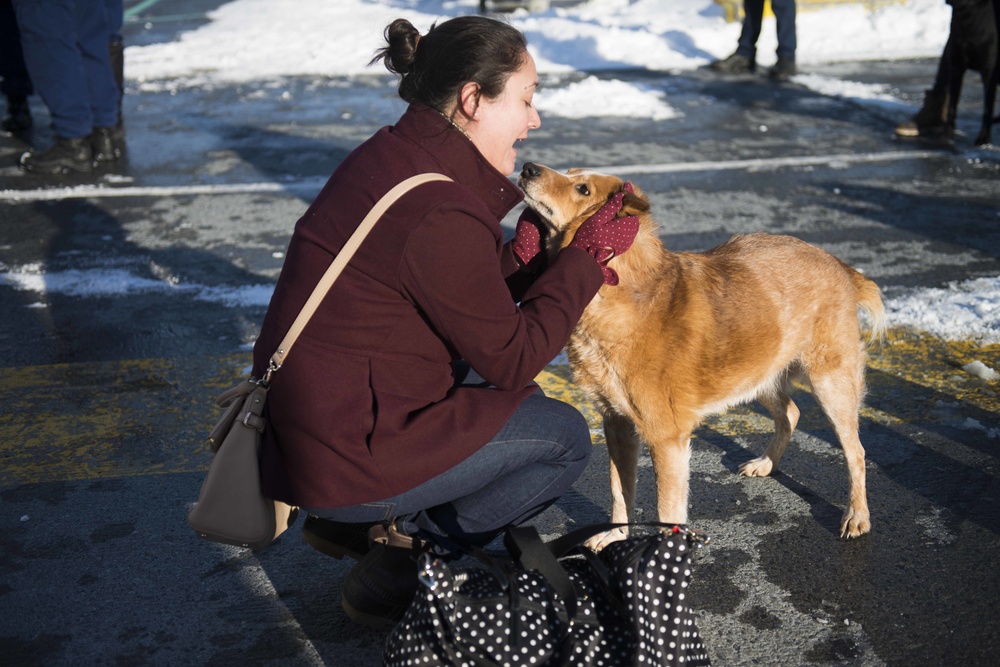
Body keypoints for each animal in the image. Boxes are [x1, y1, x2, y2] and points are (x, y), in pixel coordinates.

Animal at [520, 162, 888, 548]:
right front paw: (616, 536)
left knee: (856, 451)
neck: (620, 290)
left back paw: (857, 515)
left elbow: (667, 510)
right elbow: (620, 492)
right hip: (758, 374)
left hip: (830, 384)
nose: (528, 167)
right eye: (569, 172)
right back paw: (766, 463)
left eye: (582, 189)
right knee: (791, 412)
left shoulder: (667, 439)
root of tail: (836, 263)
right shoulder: (617, 424)